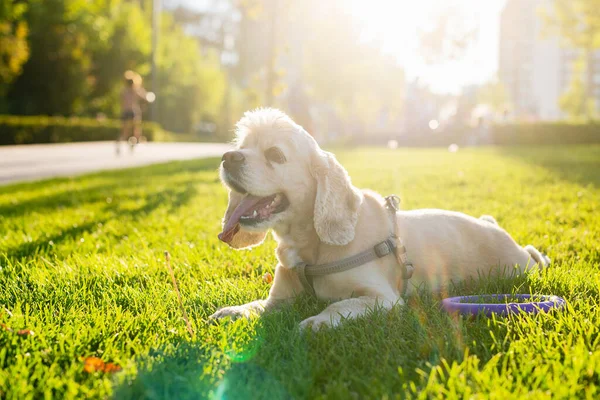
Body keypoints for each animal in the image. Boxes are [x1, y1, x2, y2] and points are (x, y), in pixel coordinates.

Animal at [210, 108, 548, 330]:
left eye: (275, 155)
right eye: (242, 147)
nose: (228, 158)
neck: (312, 245)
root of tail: (495, 227)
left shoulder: (383, 299)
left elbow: (338, 305)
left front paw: (315, 322)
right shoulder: (279, 300)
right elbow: (257, 306)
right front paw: (232, 311)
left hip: (517, 265)